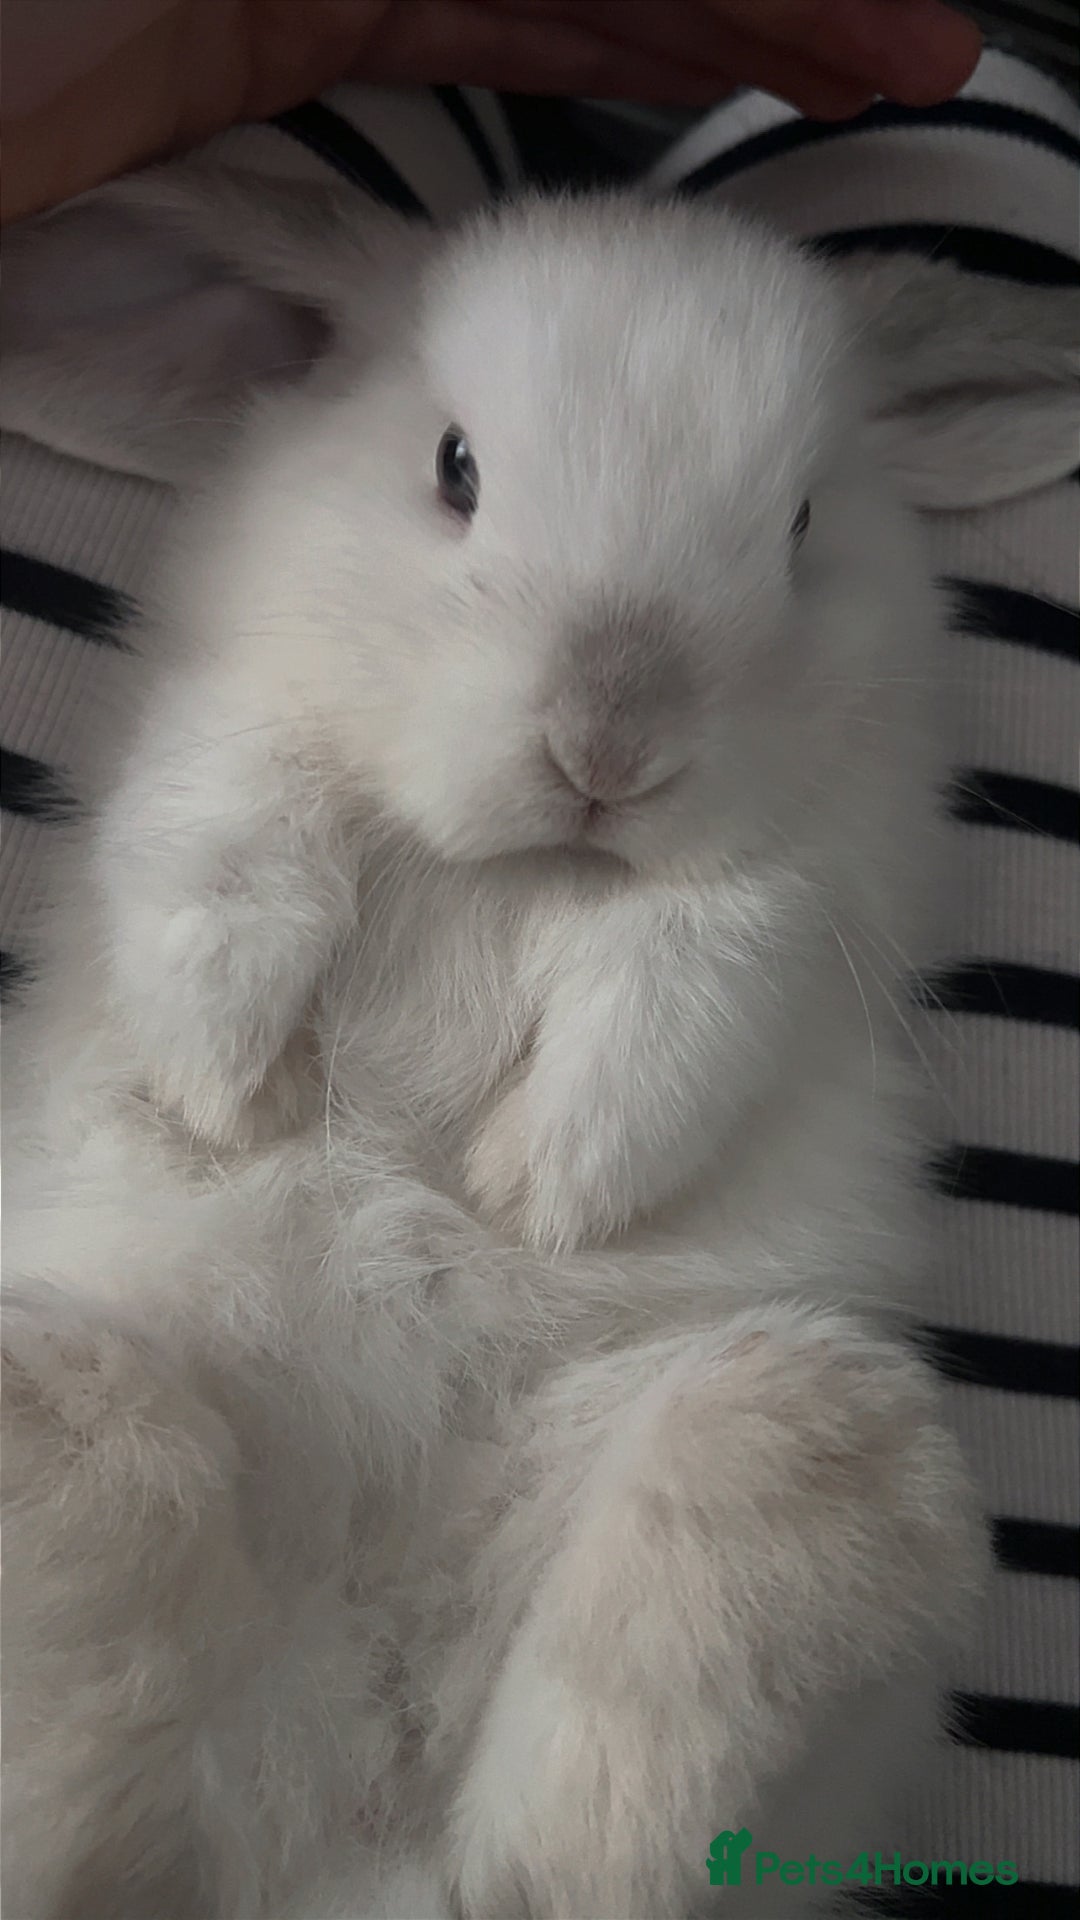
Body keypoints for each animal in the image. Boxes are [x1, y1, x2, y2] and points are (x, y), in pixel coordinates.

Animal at [3, 162, 1078, 1920]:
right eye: (454, 469)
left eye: (801, 529)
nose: (610, 745)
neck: (518, 872)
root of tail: (347, 1843)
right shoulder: (226, 731)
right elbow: (225, 838)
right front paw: (231, 1092)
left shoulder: (789, 894)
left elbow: (694, 984)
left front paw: (544, 1189)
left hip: (809, 1467)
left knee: (599, 1804)